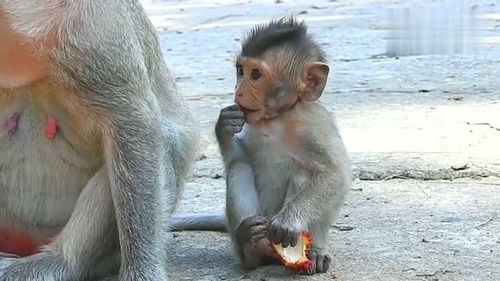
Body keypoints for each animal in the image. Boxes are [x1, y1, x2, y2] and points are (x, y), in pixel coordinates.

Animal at [216, 17, 352, 274]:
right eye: (240, 71)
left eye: (256, 75)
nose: (238, 91)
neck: (278, 118)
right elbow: (238, 157)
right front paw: (224, 125)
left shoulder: (313, 127)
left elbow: (334, 173)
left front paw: (289, 221)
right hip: (260, 219)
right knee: (240, 168)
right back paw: (251, 246)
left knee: (304, 172)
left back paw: (314, 251)